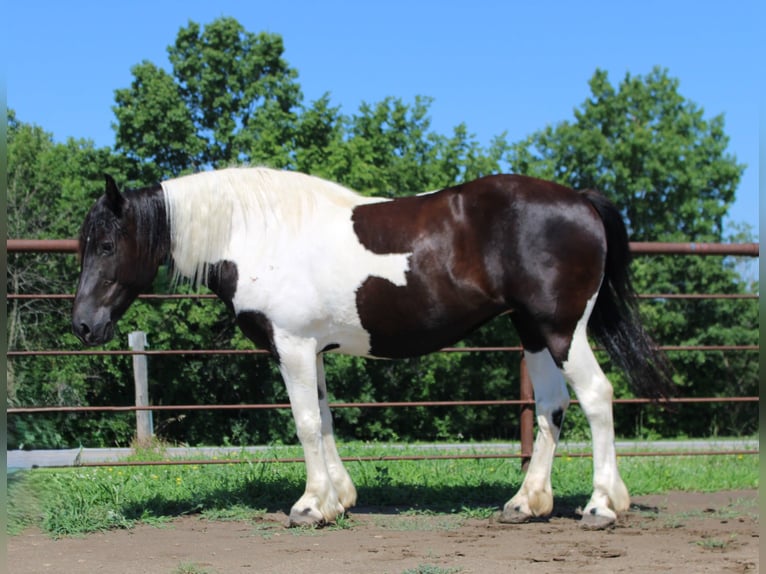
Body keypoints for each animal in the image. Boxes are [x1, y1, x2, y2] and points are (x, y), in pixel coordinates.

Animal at [72, 167, 673, 529]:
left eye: (107, 245)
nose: (82, 326)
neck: (256, 234)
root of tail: (580, 200)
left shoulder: (292, 346)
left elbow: (305, 424)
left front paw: (309, 506)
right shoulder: (311, 350)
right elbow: (325, 420)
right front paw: (338, 500)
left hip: (561, 329)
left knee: (596, 397)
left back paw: (601, 506)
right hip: (532, 332)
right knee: (552, 408)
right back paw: (526, 504)